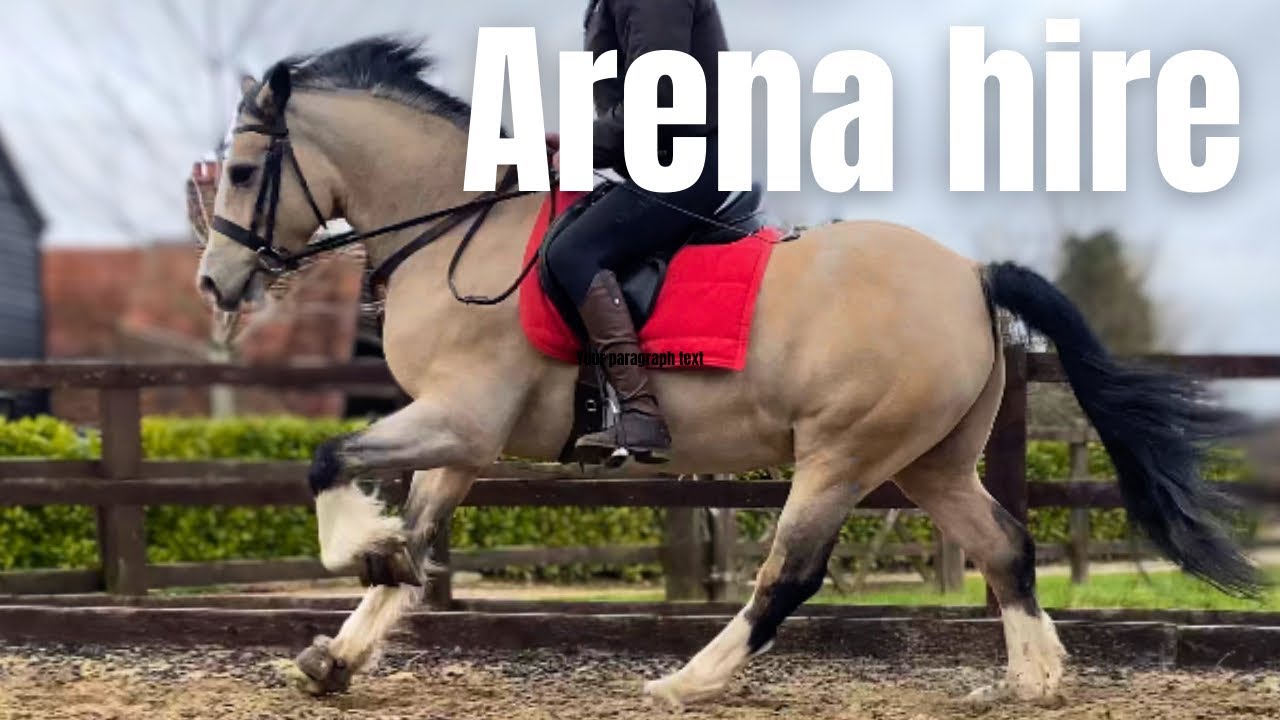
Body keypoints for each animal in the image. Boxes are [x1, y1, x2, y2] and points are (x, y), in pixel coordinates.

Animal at [195, 37, 1260, 707]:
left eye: (243, 174)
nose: (215, 282)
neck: (457, 228)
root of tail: (967, 270)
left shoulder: (462, 418)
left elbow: (329, 461)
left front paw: (358, 548)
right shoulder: (460, 439)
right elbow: (413, 539)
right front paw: (338, 652)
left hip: (841, 455)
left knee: (789, 575)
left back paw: (686, 681)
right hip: (930, 462)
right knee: (1004, 548)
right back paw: (1033, 679)